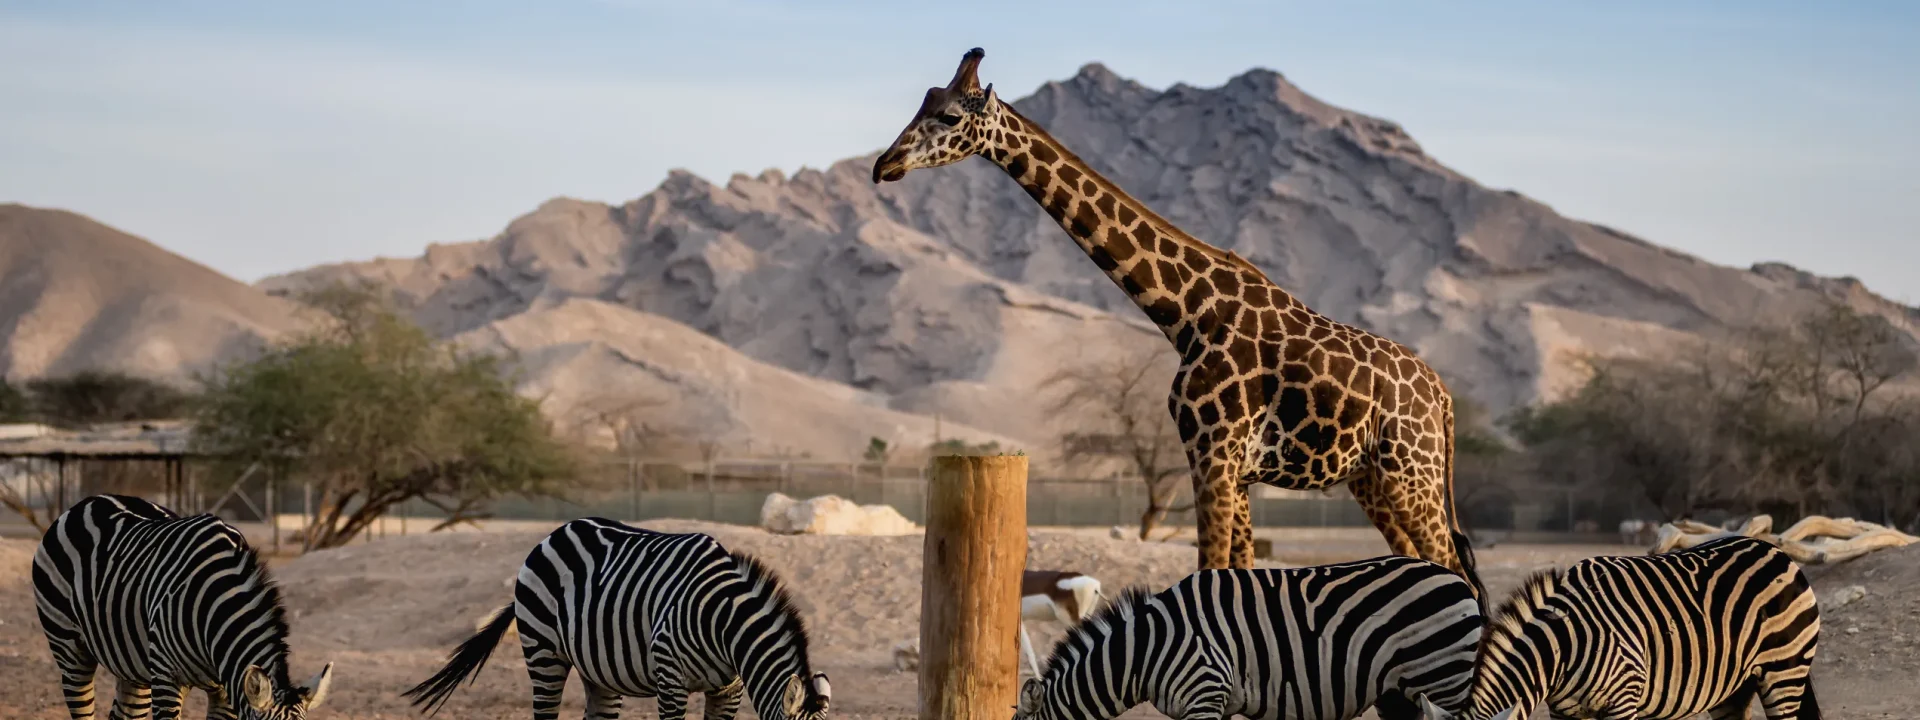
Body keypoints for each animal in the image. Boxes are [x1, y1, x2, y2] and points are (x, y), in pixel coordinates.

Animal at [401, 518, 829, 720]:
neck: (723, 623)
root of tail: (556, 532)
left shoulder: (728, 690)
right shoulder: (670, 680)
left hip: (599, 673)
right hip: (543, 652)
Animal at [871, 48, 1482, 606]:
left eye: (951, 116)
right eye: (924, 102)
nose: (884, 164)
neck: (1186, 315)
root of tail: (1443, 397)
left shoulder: (1214, 453)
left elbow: (1211, 572)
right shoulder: (1231, 467)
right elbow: (1237, 573)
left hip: (1412, 472)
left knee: (1456, 570)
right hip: (1371, 477)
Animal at [1006, 556, 1482, 720]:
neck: (1145, 652)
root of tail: (1455, 577)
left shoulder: (1204, 692)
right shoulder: (1219, 701)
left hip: (1444, 678)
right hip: (1398, 694)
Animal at [1420, 537, 1820, 720]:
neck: (1563, 645)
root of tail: (1773, 549)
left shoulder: (1624, 701)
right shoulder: (1564, 712)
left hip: (1784, 671)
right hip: (1735, 687)